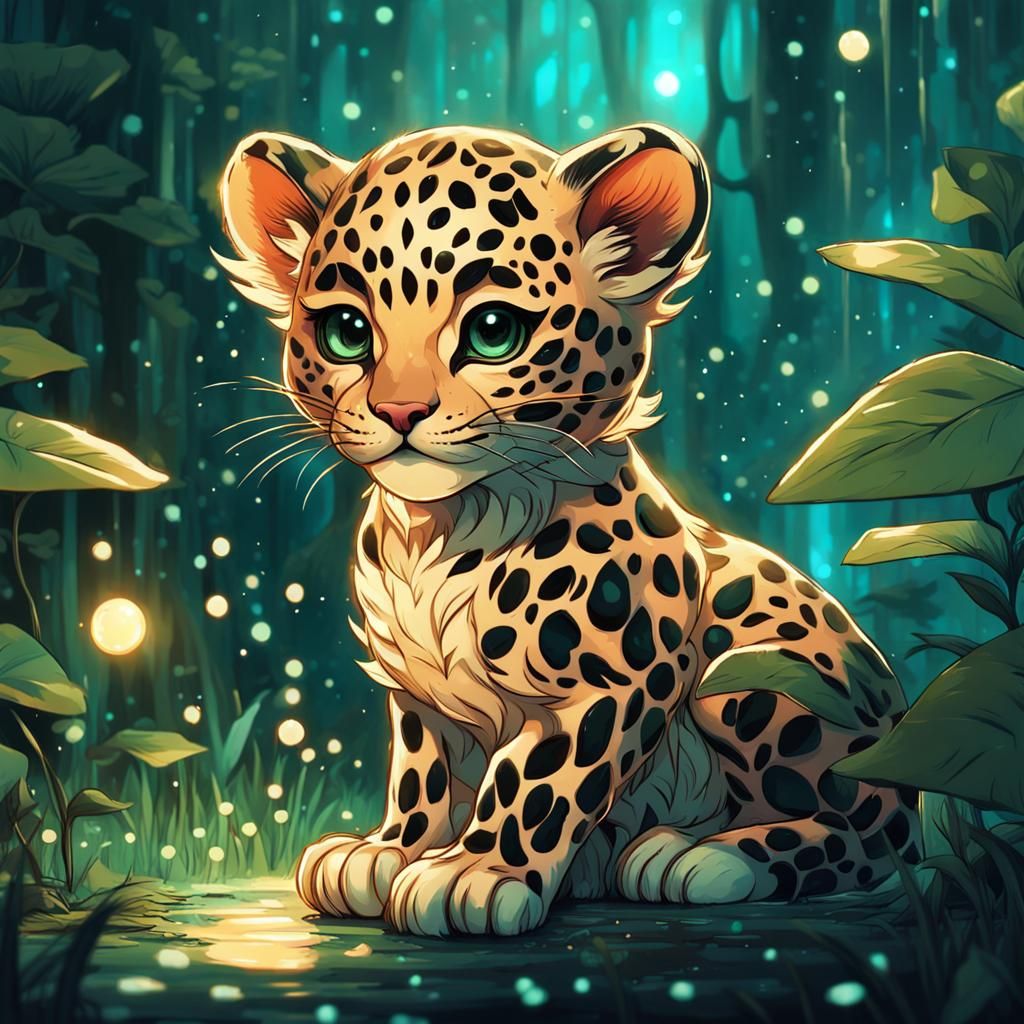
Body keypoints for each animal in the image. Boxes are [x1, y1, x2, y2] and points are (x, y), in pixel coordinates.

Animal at [216, 121, 920, 937]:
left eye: (493, 332)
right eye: (346, 332)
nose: (399, 411)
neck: (440, 531)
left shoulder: (610, 685)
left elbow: (536, 781)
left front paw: (475, 873)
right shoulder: (416, 697)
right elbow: (422, 772)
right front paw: (386, 851)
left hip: (755, 673)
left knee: (870, 833)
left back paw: (700, 855)